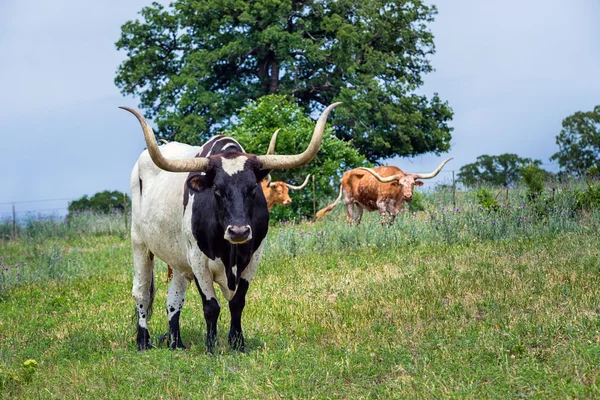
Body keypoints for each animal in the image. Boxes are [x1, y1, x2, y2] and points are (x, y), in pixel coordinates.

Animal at [318, 159, 450, 222]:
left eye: (413, 184)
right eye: (401, 184)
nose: (408, 196)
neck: (395, 194)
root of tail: (345, 175)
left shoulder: (395, 209)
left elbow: (391, 221)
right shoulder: (381, 204)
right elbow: (383, 221)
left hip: (359, 205)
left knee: (356, 220)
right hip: (348, 201)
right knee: (349, 220)